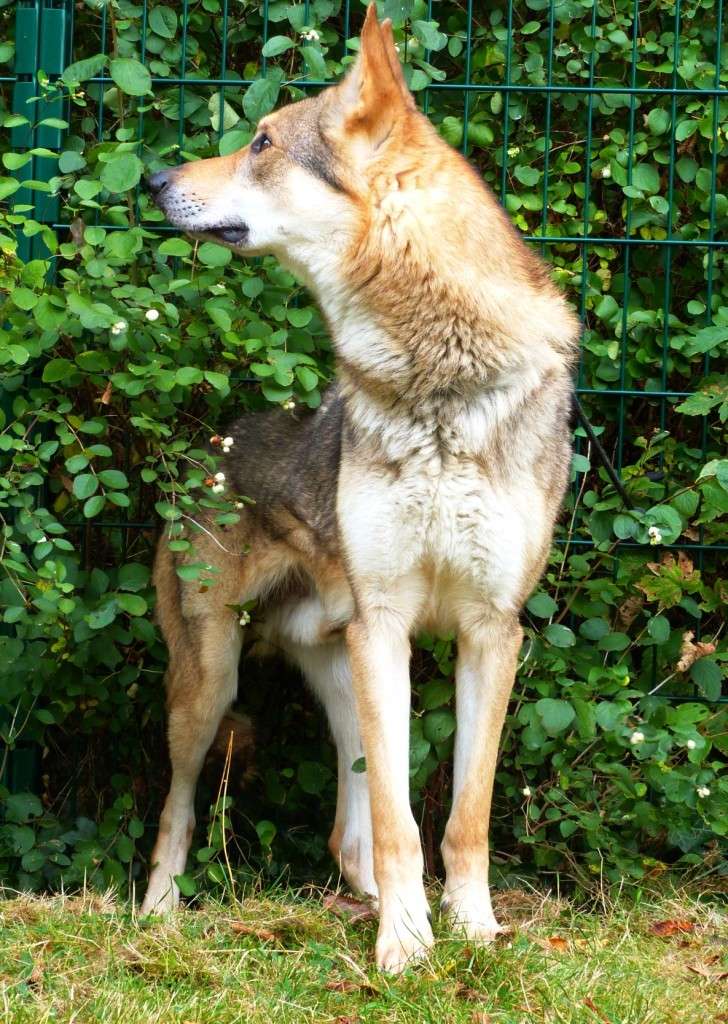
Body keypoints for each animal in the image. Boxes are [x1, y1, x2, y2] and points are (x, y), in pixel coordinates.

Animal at [142, 4, 577, 970]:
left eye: (262, 143)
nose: (152, 178)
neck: (439, 381)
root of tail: (209, 448)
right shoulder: (389, 624)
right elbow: (399, 823)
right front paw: (406, 950)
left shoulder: (490, 630)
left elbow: (462, 818)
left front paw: (473, 932)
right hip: (211, 688)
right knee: (178, 810)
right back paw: (156, 920)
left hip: (342, 671)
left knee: (348, 834)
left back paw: (372, 902)